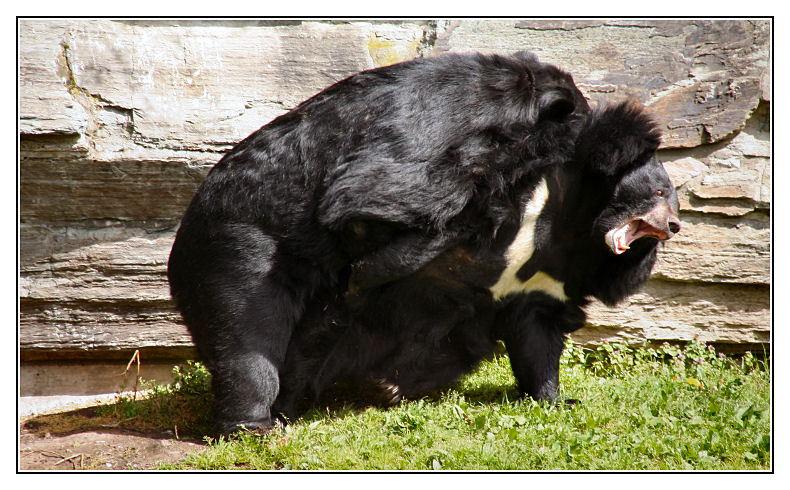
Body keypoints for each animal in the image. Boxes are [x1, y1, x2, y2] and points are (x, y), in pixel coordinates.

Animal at [169, 51, 680, 434]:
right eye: (659, 192)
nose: (673, 225)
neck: (565, 210)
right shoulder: (455, 113)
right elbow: (372, 192)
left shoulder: (546, 278)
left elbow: (536, 333)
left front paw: (557, 400)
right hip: (236, 244)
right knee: (249, 338)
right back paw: (253, 424)